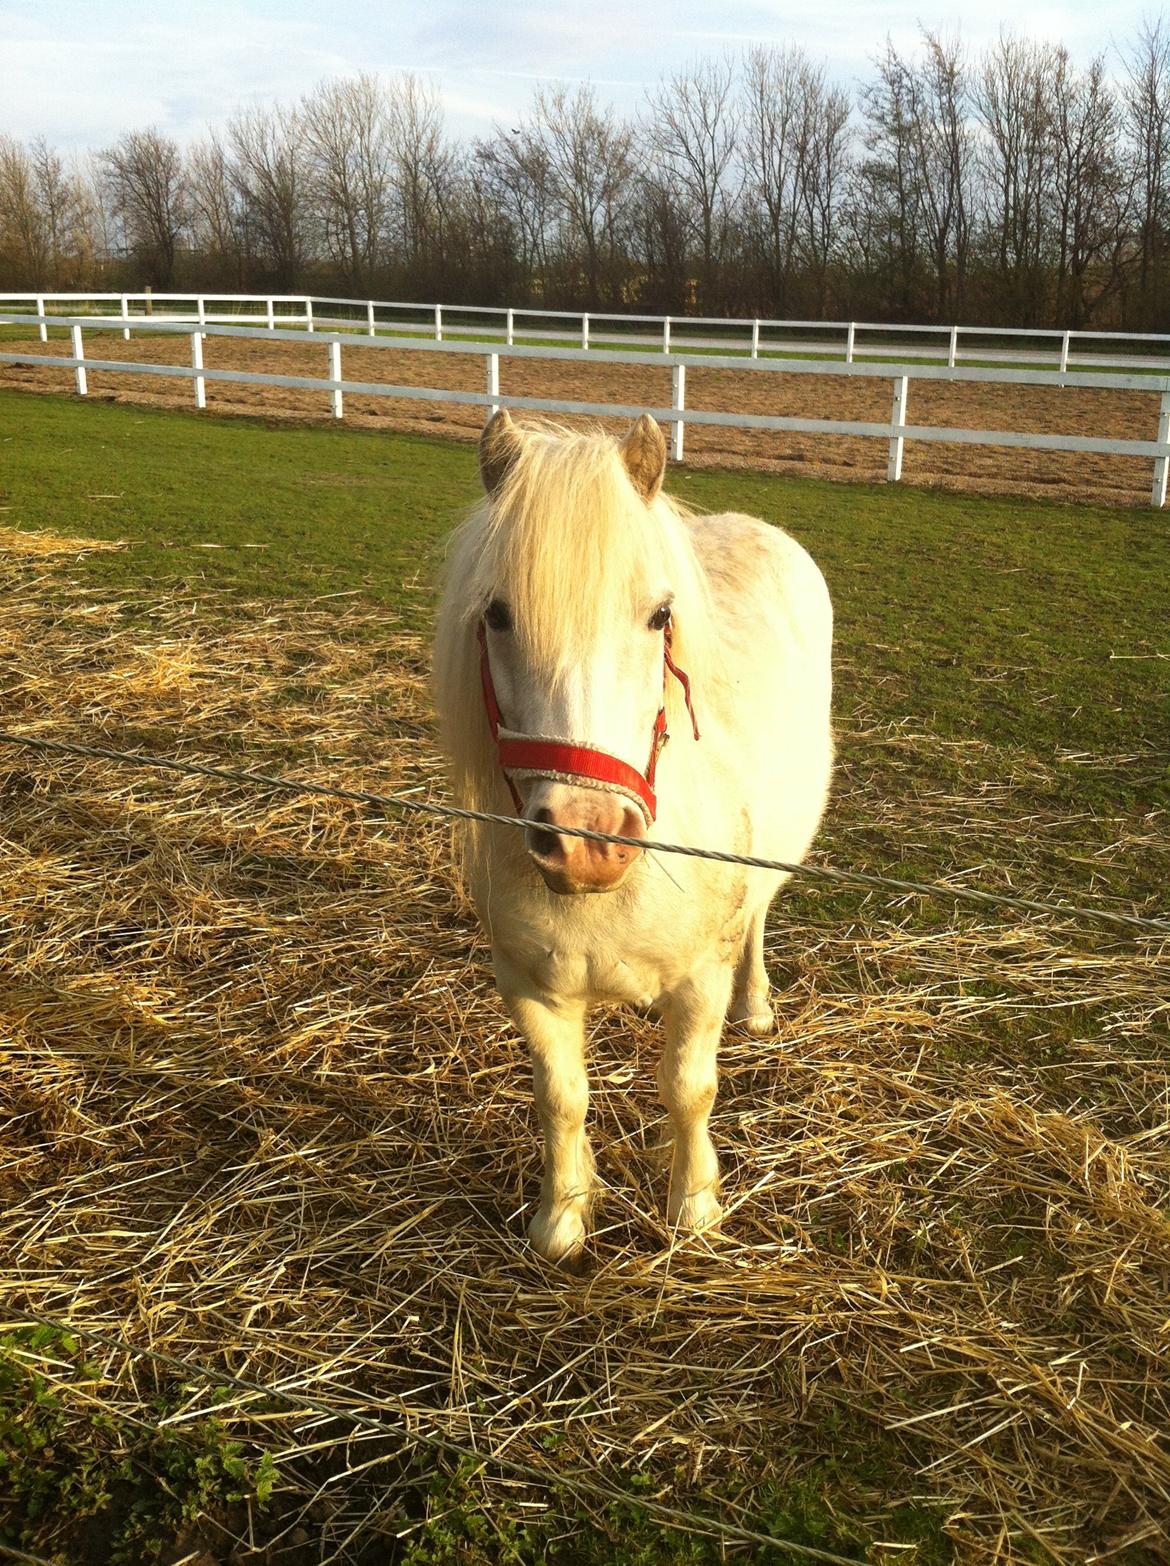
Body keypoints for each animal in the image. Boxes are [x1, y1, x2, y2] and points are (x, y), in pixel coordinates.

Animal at [432, 413, 833, 1259]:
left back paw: (758, 1007)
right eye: (497, 615)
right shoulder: (530, 987)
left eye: (658, 617)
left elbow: (688, 1090)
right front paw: (562, 1219)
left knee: (759, 920)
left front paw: (695, 1208)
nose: (587, 841)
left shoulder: (700, 981)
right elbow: (562, 1098)